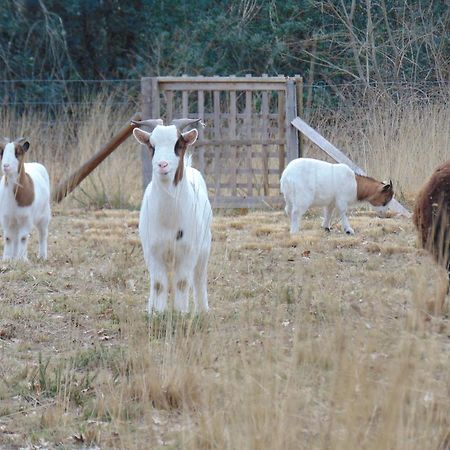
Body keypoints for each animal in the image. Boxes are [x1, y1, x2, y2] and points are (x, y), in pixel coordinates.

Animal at [132, 116, 213, 312]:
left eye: (178, 144)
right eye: (151, 145)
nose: (162, 165)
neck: (169, 220)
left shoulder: (188, 252)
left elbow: (182, 283)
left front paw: (181, 313)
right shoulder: (153, 252)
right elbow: (159, 285)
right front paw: (157, 314)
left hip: (204, 248)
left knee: (198, 279)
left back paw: (202, 310)